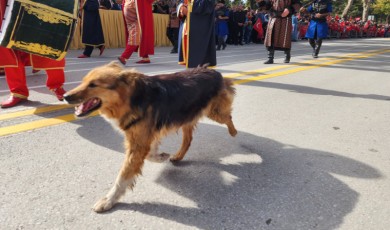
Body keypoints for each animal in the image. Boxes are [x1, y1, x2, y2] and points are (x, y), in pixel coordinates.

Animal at [64, 62, 236, 213]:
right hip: (187, 117)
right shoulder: (144, 138)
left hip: (215, 113)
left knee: (228, 118)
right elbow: (149, 155)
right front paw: (161, 157)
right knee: (188, 140)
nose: (65, 96)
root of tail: (212, 71)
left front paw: (108, 200)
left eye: (93, 85)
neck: (131, 98)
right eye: (83, 81)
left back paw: (234, 133)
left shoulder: (139, 143)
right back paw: (178, 156)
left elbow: (123, 176)